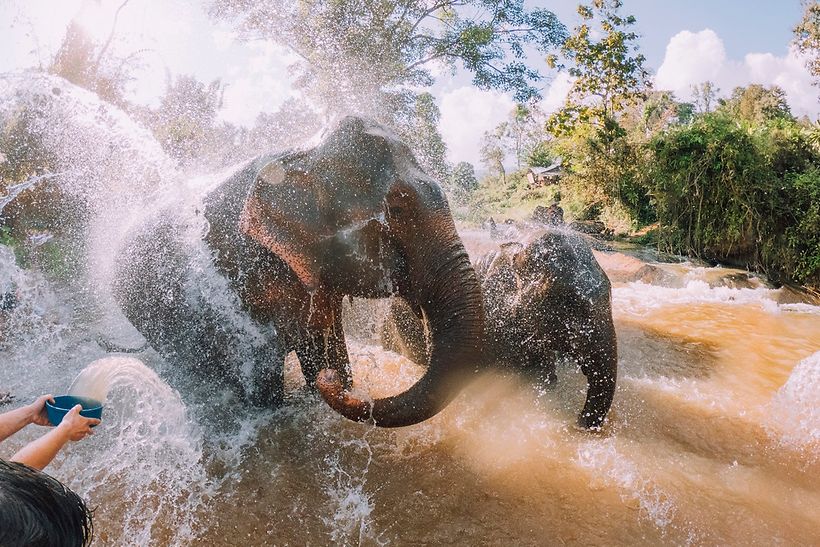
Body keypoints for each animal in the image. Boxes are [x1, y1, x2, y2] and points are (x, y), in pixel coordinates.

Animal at [116, 117, 486, 430]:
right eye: (396, 208)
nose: (328, 382)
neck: (303, 153)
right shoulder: (234, 276)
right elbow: (262, 377)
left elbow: (325, 343)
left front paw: (328, 376)